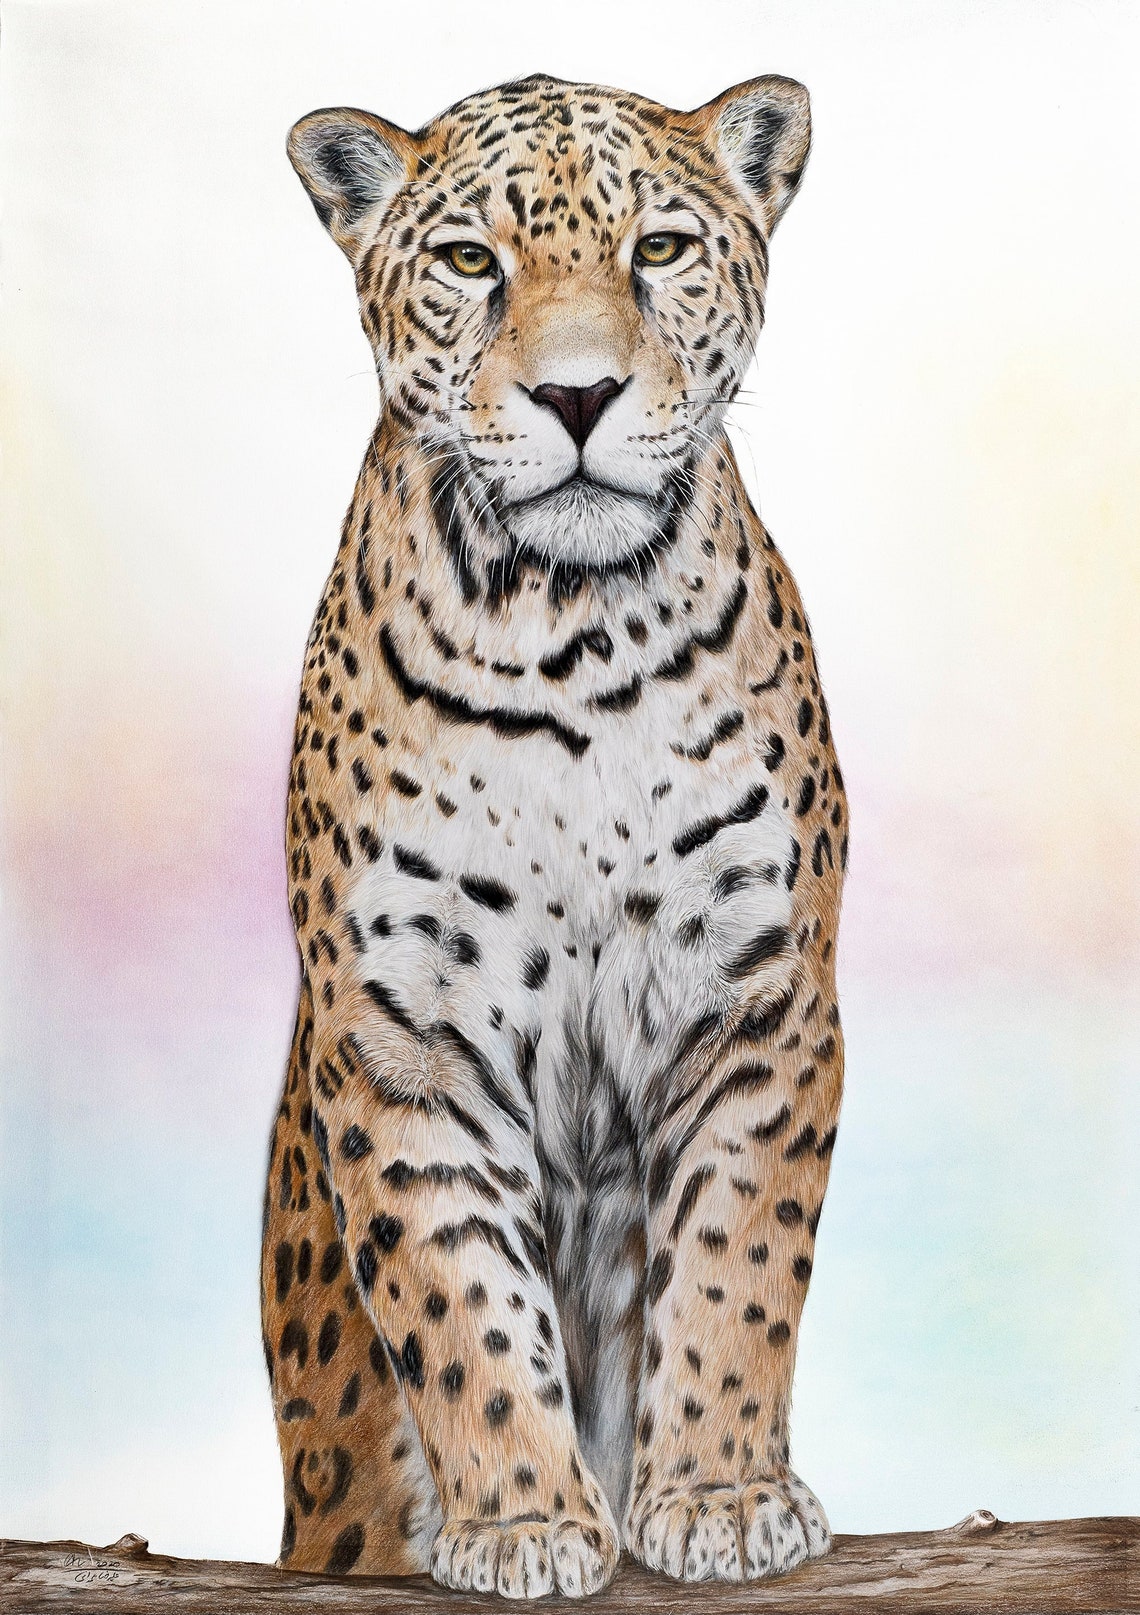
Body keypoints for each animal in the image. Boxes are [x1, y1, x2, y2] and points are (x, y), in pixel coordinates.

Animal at [260, 71, 846, 1600]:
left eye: (660, 251)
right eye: (473, 263)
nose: (577, 393)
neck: (572, 637)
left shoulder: (760, 994)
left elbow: (735, 1265)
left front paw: (719, 1494)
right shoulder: (402, 1032)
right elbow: (459, 1297)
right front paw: (524, 1522)